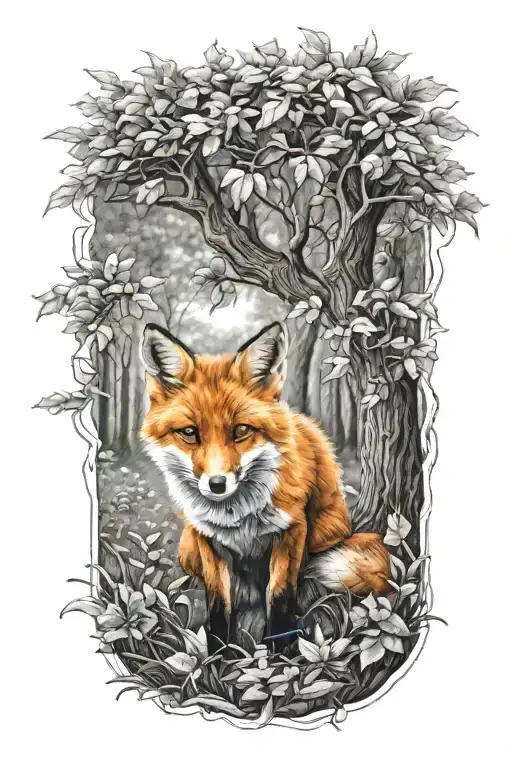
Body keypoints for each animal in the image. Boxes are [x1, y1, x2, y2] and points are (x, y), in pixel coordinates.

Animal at [140, 321, 391, 644]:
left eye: (241, 430)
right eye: (189, 432)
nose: (217, 484)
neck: (236, 518)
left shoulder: (292, 531)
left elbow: (280, 598)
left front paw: (280, 649)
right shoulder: (207, 540)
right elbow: (218, 602)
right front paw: (219, 651)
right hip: (187, 550)